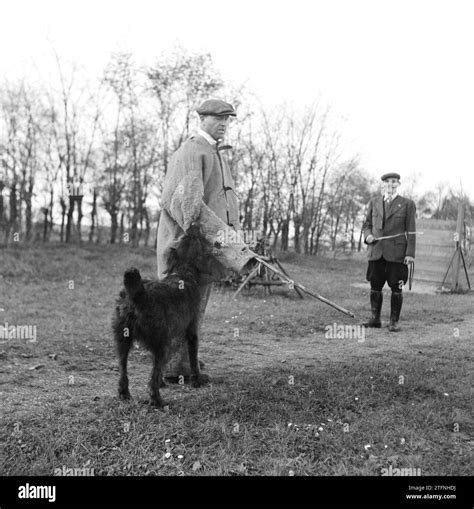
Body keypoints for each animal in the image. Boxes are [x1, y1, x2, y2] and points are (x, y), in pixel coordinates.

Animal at [112, 224, 212, 406]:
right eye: (197, 240)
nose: (193, 226)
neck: (182, 272)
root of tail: (139, 295)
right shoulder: (191, 332)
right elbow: (193, 359)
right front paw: (197, 380)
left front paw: (162, 382)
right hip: (160, 344)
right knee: (151, 380)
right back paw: (157, 400)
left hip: (123, 341)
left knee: (123, 371)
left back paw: (125, 394)